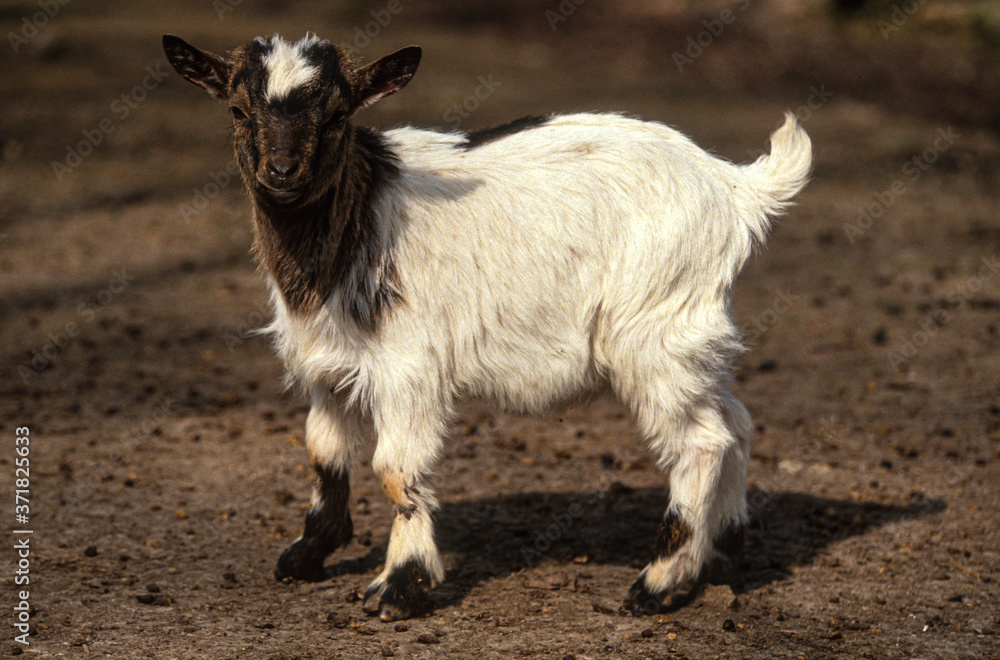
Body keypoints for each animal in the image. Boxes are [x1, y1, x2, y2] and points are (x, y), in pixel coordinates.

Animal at [163, 33, 811, 621]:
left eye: (340, 113)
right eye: (237, 109)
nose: (282, 171)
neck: (355, 215)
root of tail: (734, 187)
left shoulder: (408, 368)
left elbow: (395, 471)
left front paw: (400, 588)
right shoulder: (327, 364)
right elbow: (324, 454)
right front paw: (305, 556)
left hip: (653, 331)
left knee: (701, 442)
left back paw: (658, 585)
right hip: (691, 336)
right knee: (735, 421)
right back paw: (723, 547)